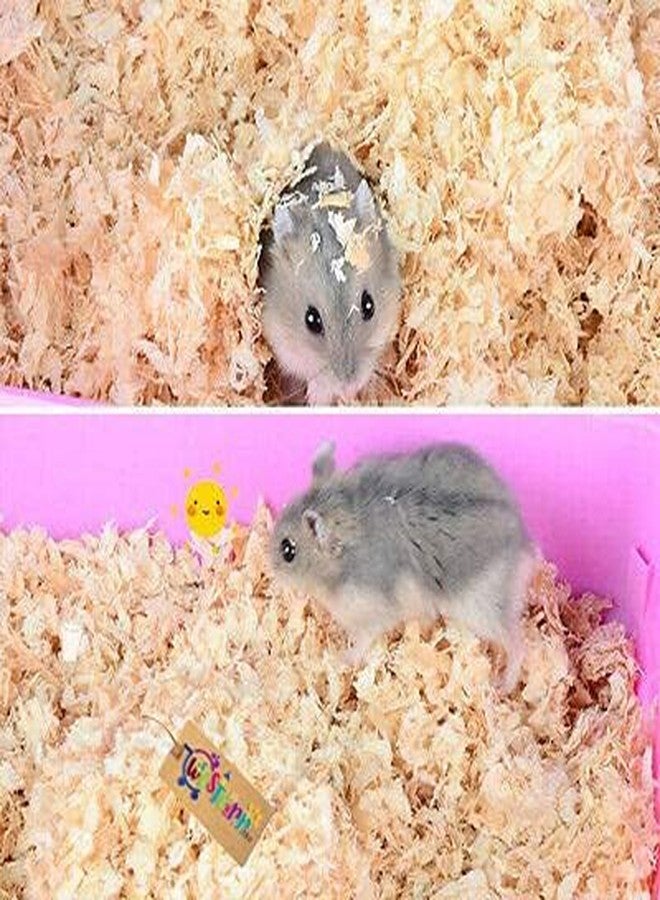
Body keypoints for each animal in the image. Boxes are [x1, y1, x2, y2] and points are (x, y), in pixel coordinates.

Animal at [271, 442, 536, 693]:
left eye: (288, 551)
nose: (270, 569)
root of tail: (525, 545)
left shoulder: (370, 614)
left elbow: (362, 642)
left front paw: (339, 659)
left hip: (483, 609)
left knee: (517, 643)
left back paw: (503, 685)